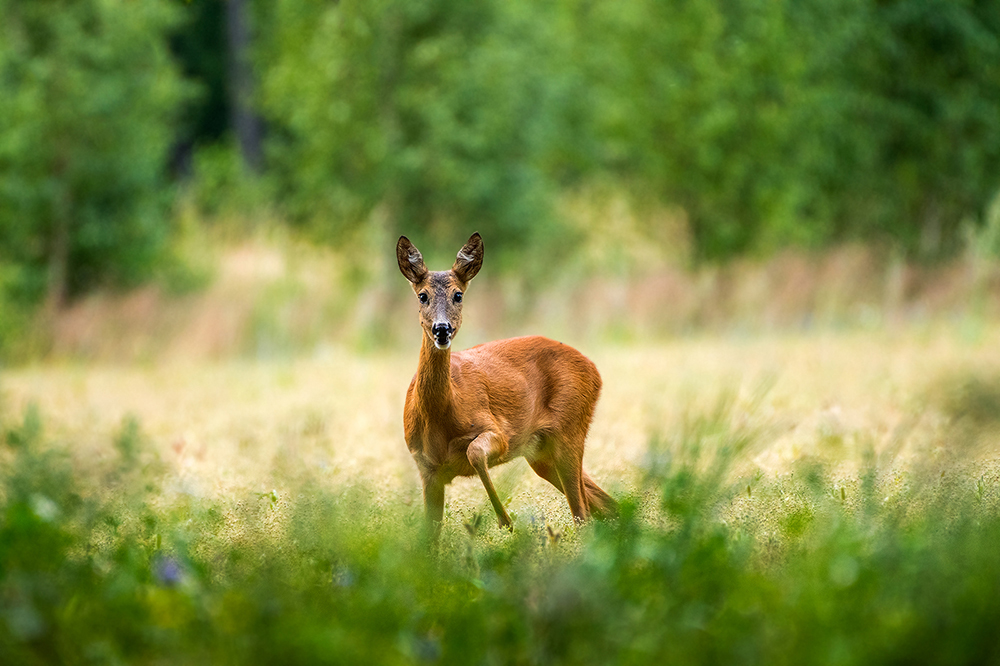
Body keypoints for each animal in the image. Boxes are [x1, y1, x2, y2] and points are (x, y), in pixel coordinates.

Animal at [394, 230, 612, 528]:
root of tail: (593, 369)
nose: (442, 329)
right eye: (422, 296)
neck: (441, 413)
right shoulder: (426, 468)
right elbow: (428, 533)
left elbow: (474, 452)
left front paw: (505, 520)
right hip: (540, 453)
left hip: (570, 426)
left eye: (458, 295)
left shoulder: (498, 432)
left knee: (583, 510)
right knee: (603, 502)